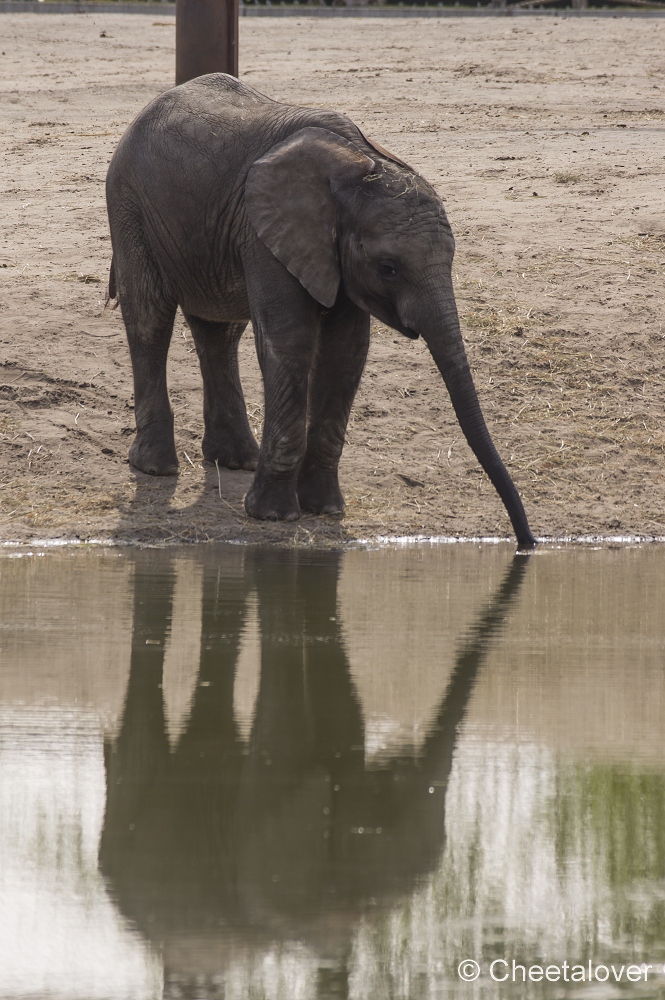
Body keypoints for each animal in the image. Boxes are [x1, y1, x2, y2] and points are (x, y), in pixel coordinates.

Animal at [106, 74, 536, 548]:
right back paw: (155, 467)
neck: (360, 164)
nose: (526, 542)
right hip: (129, 205)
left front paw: (325, 509)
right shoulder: (265, 233)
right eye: (388, 268)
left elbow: (346, 353)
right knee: (150, 315)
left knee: (218, 330)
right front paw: (273, 516)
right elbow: (290, 342)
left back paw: (236, 460)